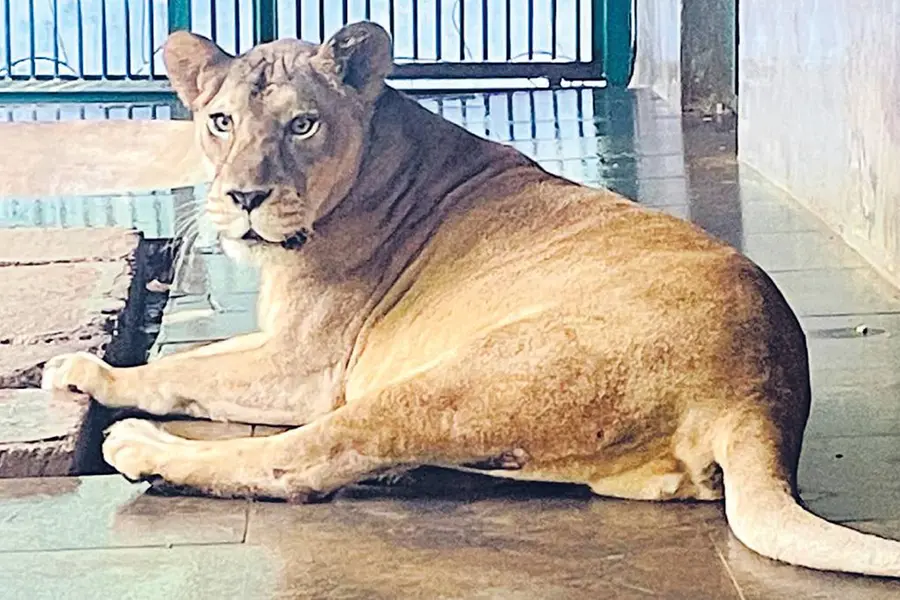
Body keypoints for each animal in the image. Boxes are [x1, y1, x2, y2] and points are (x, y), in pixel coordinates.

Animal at [41, 21, 900, 576]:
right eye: (219, 121)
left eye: (302, 125)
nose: (243, 198)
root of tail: (766, 391)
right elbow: (201, 359)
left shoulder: (306, 367)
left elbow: (184, 370)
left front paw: (91, 375)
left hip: (454, 379)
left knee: (302, 461)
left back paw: (142, 450)